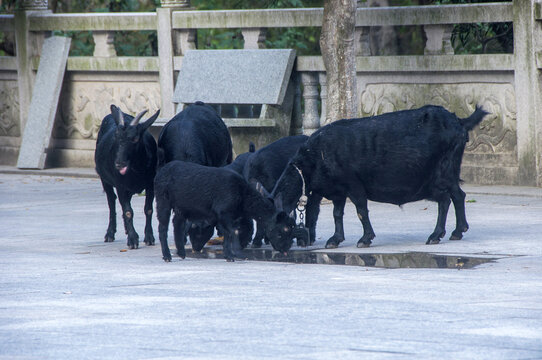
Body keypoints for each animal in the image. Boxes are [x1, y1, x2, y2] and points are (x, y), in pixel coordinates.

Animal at [95, 105, 160, 249]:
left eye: (135, 139)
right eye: (116, 137)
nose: (119, 163)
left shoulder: (151, 184)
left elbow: (148, 209)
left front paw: (149, 237)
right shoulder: (121, 186)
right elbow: (128, 211)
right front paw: (133, 239)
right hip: (104, 179)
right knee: (111, 201)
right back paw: (110, 234)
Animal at [155, 160, 296, 262]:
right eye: (284, 229)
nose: (286, 248)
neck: (243, 200)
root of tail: (160, 172)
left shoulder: (227, 215)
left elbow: (229, 233)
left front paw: (229, 255)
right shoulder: (223, 211)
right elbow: (233, 232)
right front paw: (236, 254)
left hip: (181, 207)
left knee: (177, 224)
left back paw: (181, 253)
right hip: (162, 199)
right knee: (162, 227)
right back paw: (167, 256)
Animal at [270, 105, 488, 249]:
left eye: (281, 226)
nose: (277, 248)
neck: (316, 157)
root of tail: (459, 122)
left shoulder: (354, 185)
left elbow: (361, 211)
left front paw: (365, 239)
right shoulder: (338, 191)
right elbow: (337, 214)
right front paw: (335, 239)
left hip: (442, 174)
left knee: (449, 198)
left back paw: (442, 234)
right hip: (443, 177)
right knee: (453, 197)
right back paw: (452, 232)